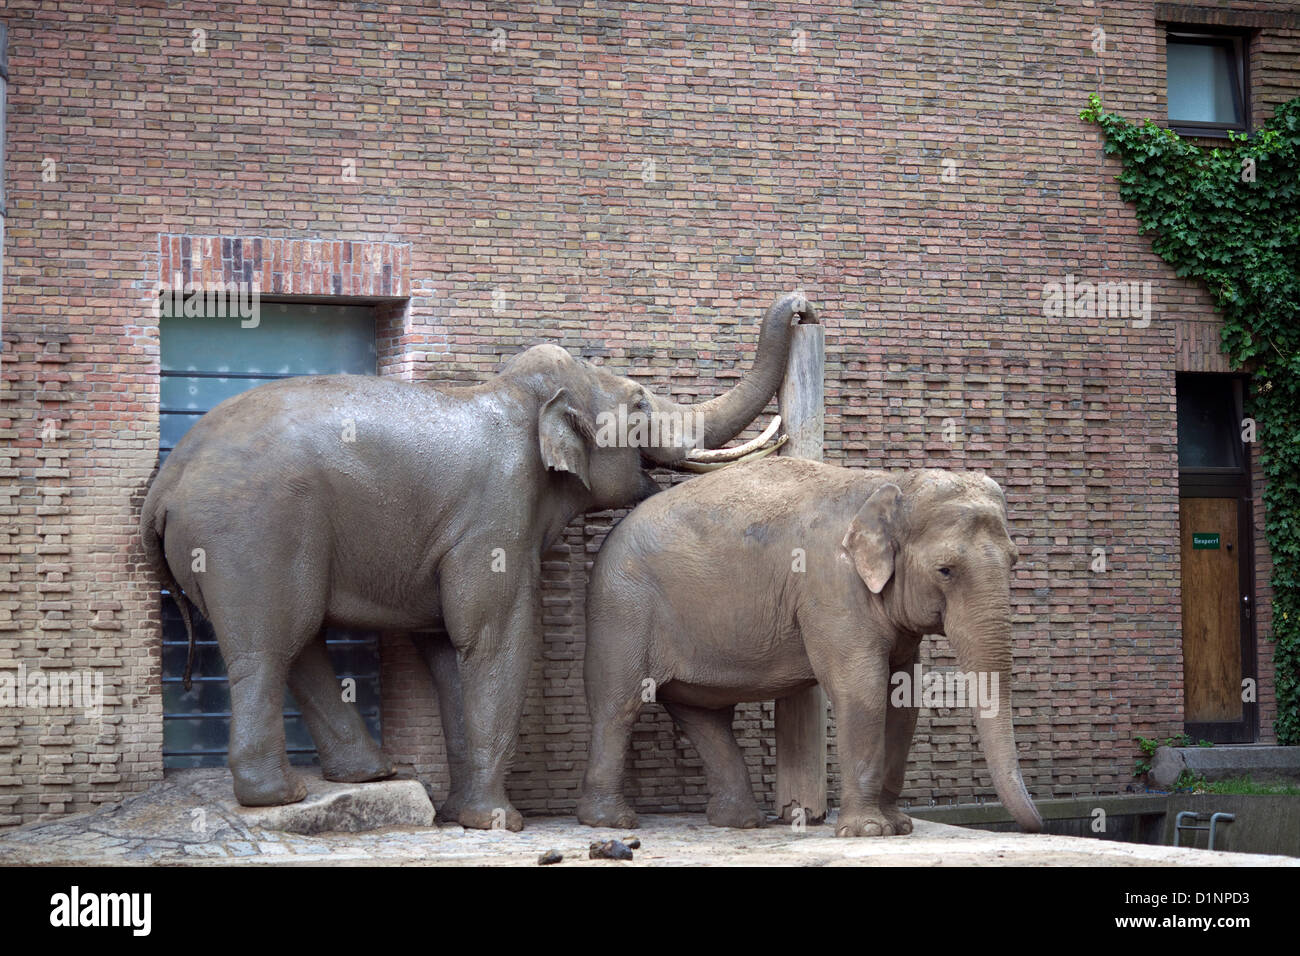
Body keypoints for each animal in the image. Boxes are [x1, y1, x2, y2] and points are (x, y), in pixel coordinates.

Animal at [142, 291, 811, 832]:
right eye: (640, 404)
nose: (803, 308)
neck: (516, 394)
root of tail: (164, 487)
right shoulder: (496, 509)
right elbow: (494, 635)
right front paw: (500, 822)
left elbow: (447, 648)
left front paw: (464, 814)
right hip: (251, 531)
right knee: (273, 642)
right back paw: (277, 794)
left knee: (297, 643)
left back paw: (367, 774)